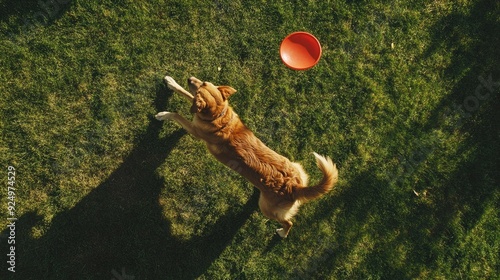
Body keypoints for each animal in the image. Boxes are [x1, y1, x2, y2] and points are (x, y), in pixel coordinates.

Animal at [154, 75, 338, 237]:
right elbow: (184, 92)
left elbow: (177, 114)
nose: (190, 78)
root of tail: (295, 187)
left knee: (288, 222)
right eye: (203, 82)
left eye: (201, 88)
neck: (219, 116)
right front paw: (171, 83)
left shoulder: (194, 130)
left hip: (267, 209)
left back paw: (282, 233)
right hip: (295, 167)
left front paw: (163, 114)